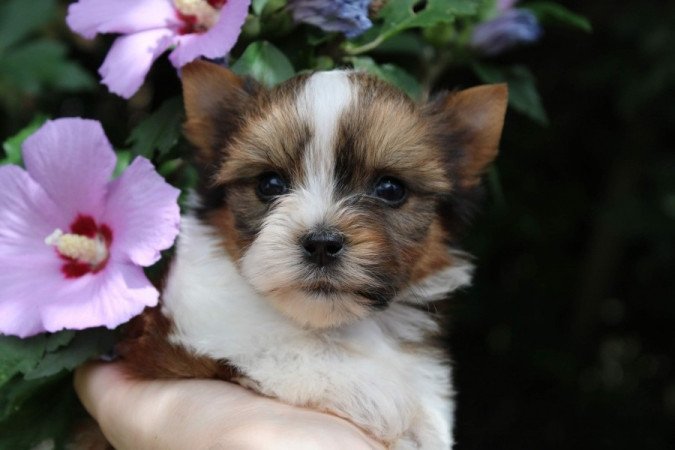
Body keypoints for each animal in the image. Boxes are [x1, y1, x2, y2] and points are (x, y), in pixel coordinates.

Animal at [120, 60, 508, 450]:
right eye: (270, 184)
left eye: (390, 189)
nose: (322, 243)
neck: (328, 321)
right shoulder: (179, 338)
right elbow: (281, 346)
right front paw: (386, 397)